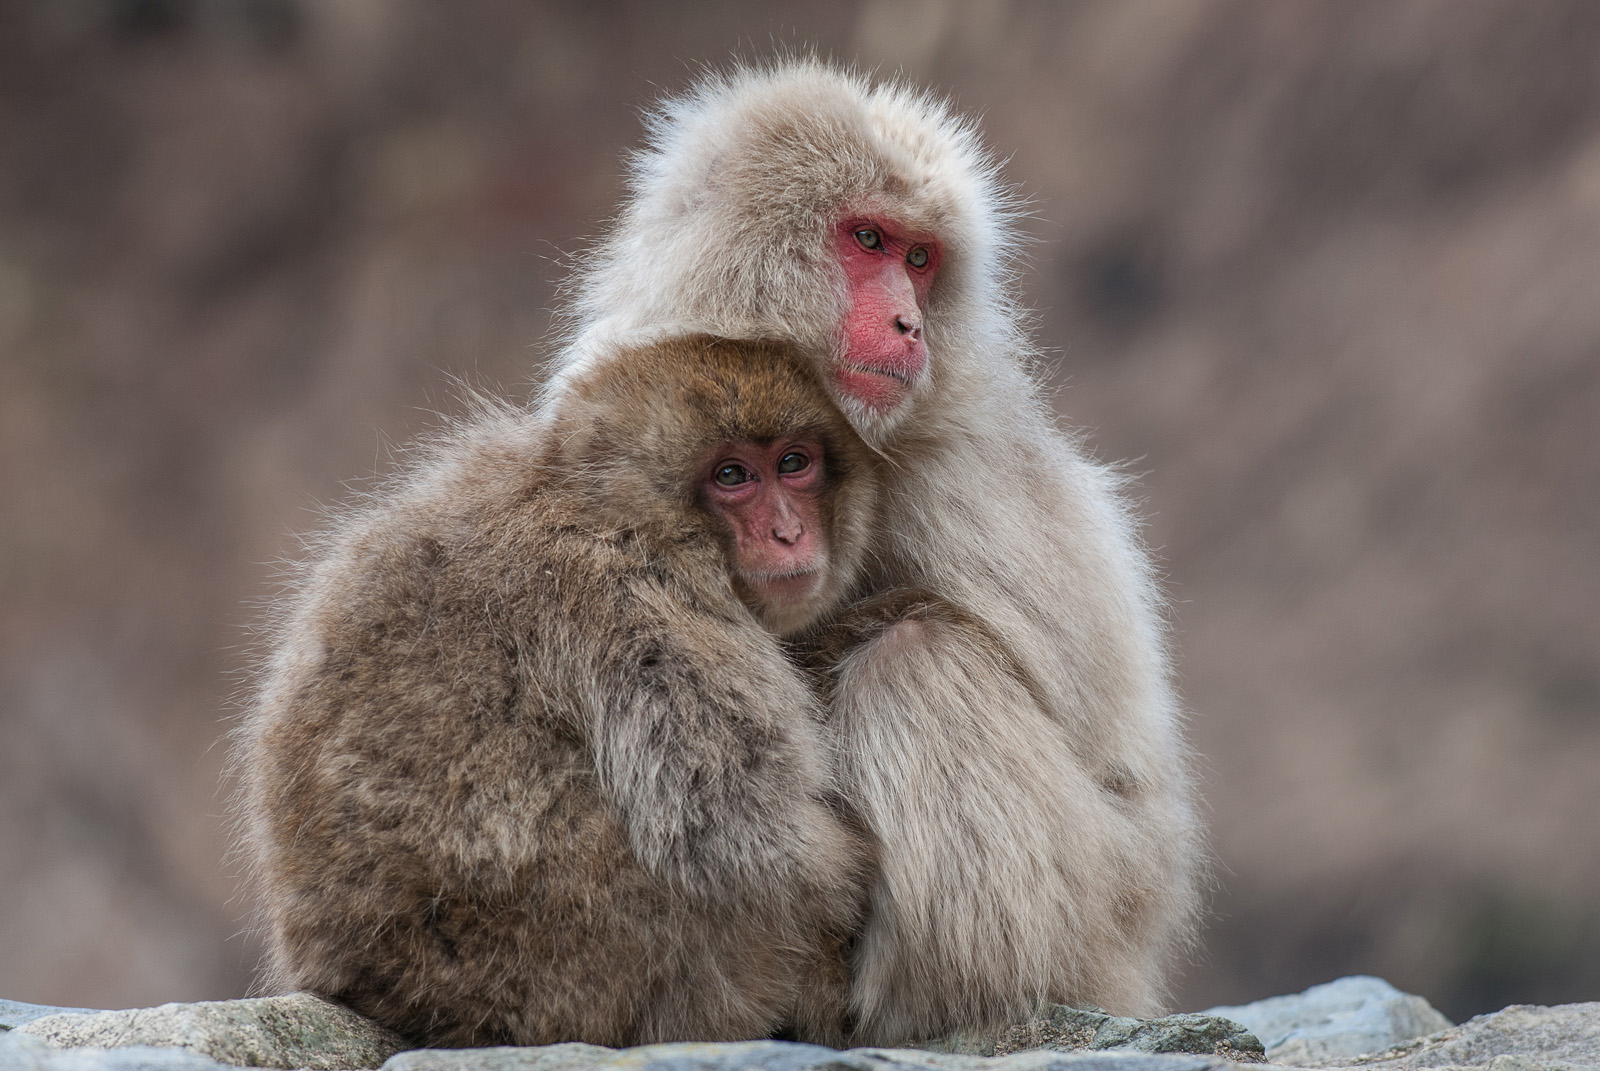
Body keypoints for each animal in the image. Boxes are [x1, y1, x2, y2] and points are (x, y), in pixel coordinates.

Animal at [232, 60, 1196, 1050]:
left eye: (922, 260)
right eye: (869, 239)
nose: (908, 322)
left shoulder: (953, 459)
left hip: (1102, 923)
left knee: (917, 668)